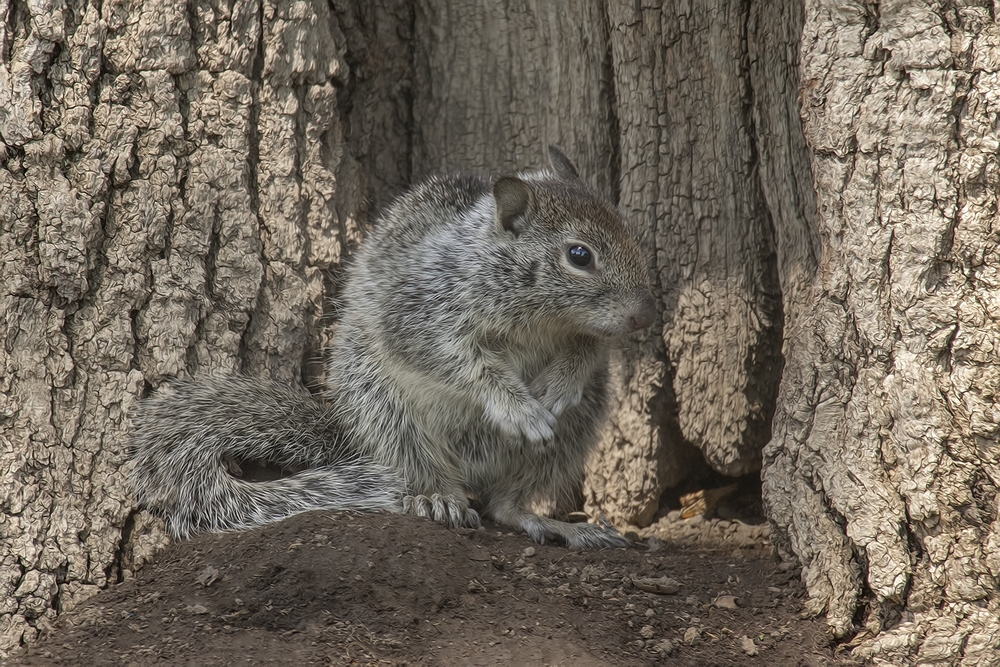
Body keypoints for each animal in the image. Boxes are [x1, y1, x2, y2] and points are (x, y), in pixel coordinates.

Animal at [131, 146, 656, 548]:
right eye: (579, 255)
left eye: (627, 227)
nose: (645, 314)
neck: (541, 320)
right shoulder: (419, 310)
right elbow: (460, 361)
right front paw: (518, 407)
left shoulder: (585, 338)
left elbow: (590, 351)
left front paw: (558, 384)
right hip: (384, 406)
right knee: (424, 473)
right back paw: (438, 498)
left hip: (573, 431)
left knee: (504, 504)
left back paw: (552, 523)